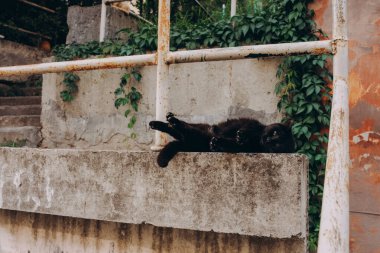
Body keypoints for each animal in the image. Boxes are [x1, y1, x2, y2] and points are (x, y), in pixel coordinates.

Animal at [150, 112, 296, 168]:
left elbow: (232, 144)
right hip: (200, 128)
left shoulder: (245, 148)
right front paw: (241, 135)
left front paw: (219, 143)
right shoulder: (251, 124)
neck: (256, 139)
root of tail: (187, 144)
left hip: (196, 136)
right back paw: (160, 122)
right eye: (275, 132)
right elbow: (245, 128)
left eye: (276, 145)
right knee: (176, 128)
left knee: (184, 130)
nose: (268, 139)